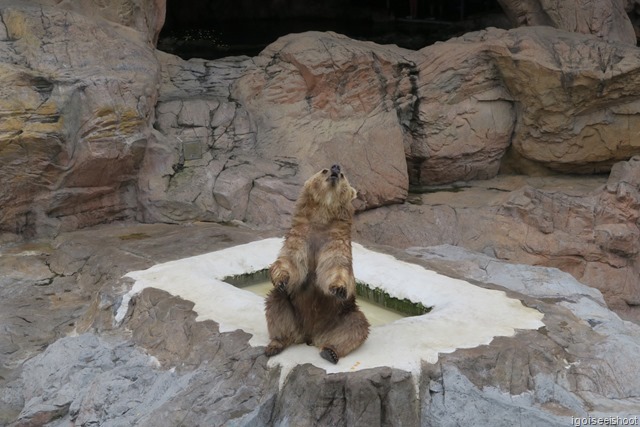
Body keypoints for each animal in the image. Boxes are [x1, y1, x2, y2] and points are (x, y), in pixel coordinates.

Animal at [264, 164, 370, 364]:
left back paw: (331, 352)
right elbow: (290, 261)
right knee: (276, 305)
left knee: (356, 325)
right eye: (324, 170)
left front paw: (339, 288)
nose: (335, 168)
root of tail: (311, 335)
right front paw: (281, 279)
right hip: (294, 312)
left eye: (343, 175)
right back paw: (275, 345)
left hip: (340, 315)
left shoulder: (334, 241)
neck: (322, 219)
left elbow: (334, 266)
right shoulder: (300, 237)